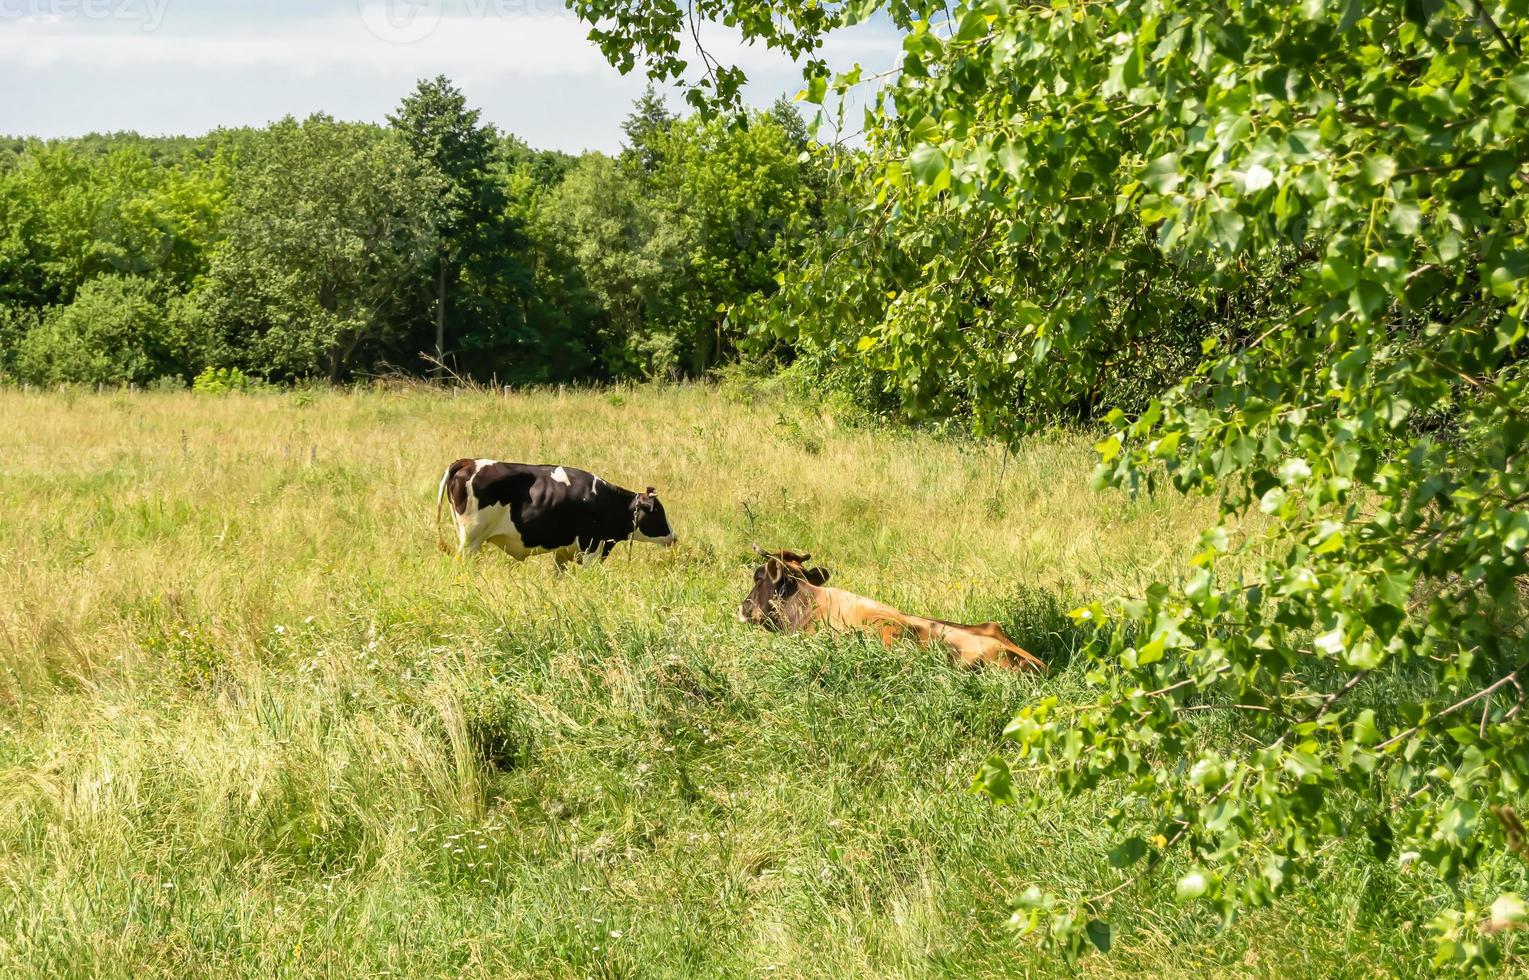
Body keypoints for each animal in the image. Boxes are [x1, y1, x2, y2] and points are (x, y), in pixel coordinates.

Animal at [431, 458, 669, 565]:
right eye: (658, 512)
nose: (673, 537)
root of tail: (467, 462)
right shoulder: (591, 547)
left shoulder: (563, 552)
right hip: (470, 541)